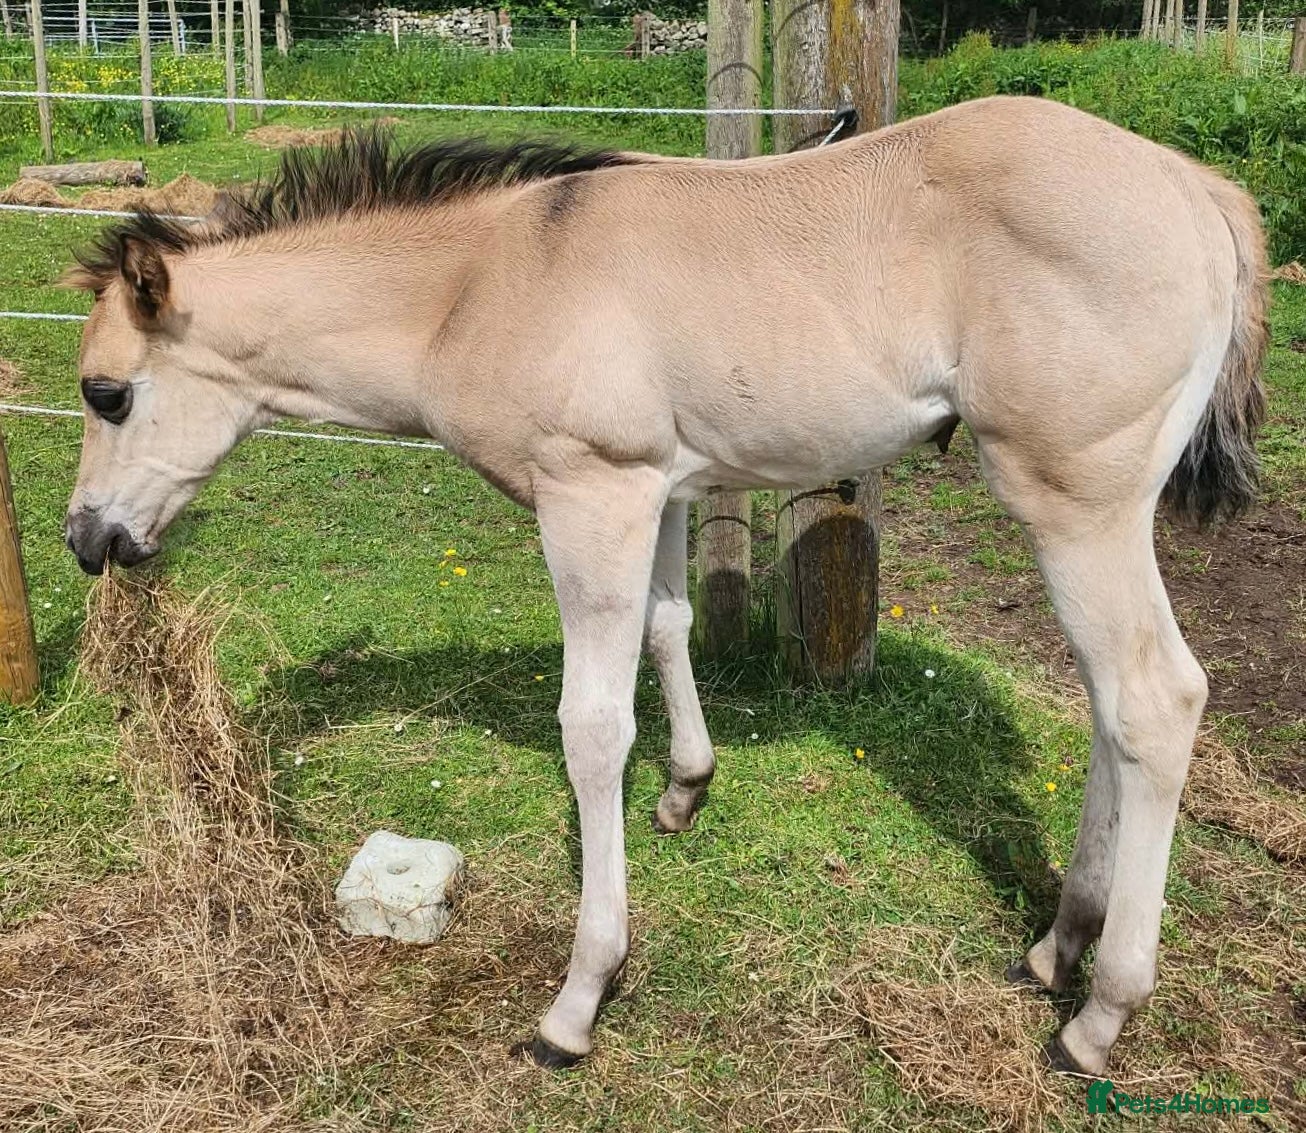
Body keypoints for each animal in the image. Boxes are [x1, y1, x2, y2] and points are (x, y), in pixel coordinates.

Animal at [61, 96, 1268, 1075]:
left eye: (107, 393)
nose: (87, 538)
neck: (482, 280)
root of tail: (1194, 190)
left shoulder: (589, 491)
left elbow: (591, 726)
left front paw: (579, 996)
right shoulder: (662, 488)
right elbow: (670, 625)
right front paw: (688, 787)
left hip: (1075, 502)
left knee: (1155, 699)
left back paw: (1098, 1017)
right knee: (1109, 706)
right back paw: (1055, 944)